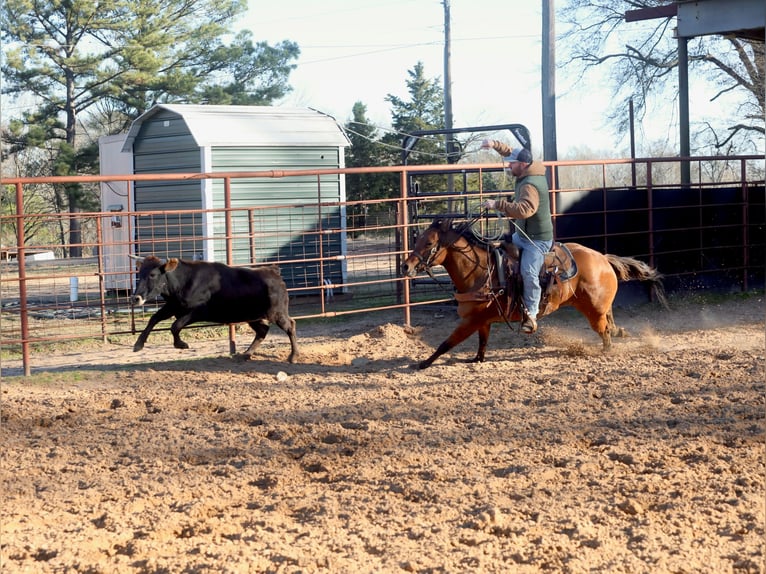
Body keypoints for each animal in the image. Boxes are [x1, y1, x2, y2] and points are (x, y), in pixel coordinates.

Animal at [132, 258, 300, 364]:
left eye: (152, 274)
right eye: (140, 274)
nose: (136, 298)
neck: (183, 281)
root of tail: (273, 272)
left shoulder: (196, 312)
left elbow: (175, 326)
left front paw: (181, 344)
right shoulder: (173, 307)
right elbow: (154, 319)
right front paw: (138, 344)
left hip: (276, 313)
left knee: (290, 326)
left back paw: (293, 356)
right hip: (252, 316)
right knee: (262, 330)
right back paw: (245, 354)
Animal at [402, 218, 664, 372]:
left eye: (429, 243)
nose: (405, 266)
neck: (480, 270)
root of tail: (603, 258)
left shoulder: (470, 321)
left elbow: (446, 343)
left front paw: (423, 363)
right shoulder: (482, 320)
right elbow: (482, 342)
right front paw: (476, 360)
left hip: (593, 311)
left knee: (605, 332)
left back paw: (607, 349)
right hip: (598, 308)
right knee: (610, 325)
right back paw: (621, 333)